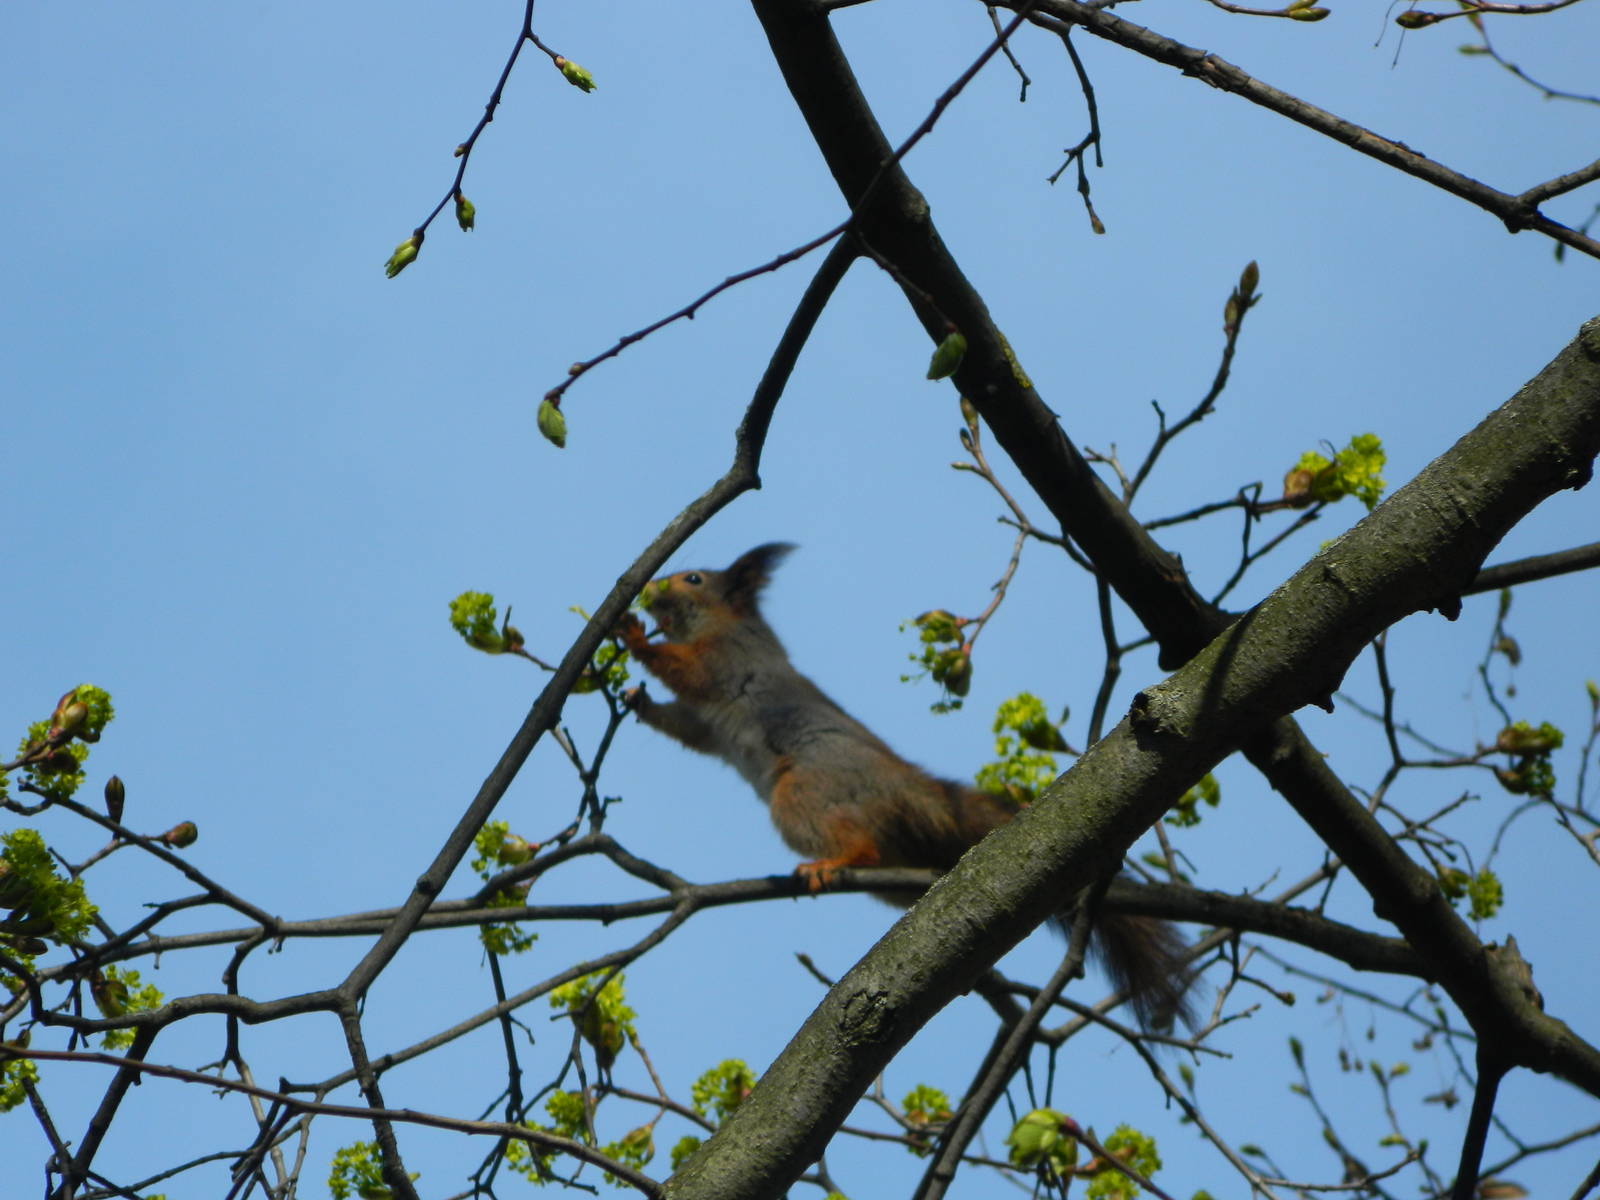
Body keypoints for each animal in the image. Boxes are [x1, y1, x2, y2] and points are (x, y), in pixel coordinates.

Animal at [615, 543, 1194, 1029]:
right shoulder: (707, 725)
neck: (720, 622)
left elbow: (687, 673)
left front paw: (633, 634)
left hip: (805, 793)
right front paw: (636, 699)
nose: (654, 590)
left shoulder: (726, 659)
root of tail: (906, 788)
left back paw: (832, 861)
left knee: (853, 839)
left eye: (693, 578)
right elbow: (689, 729)